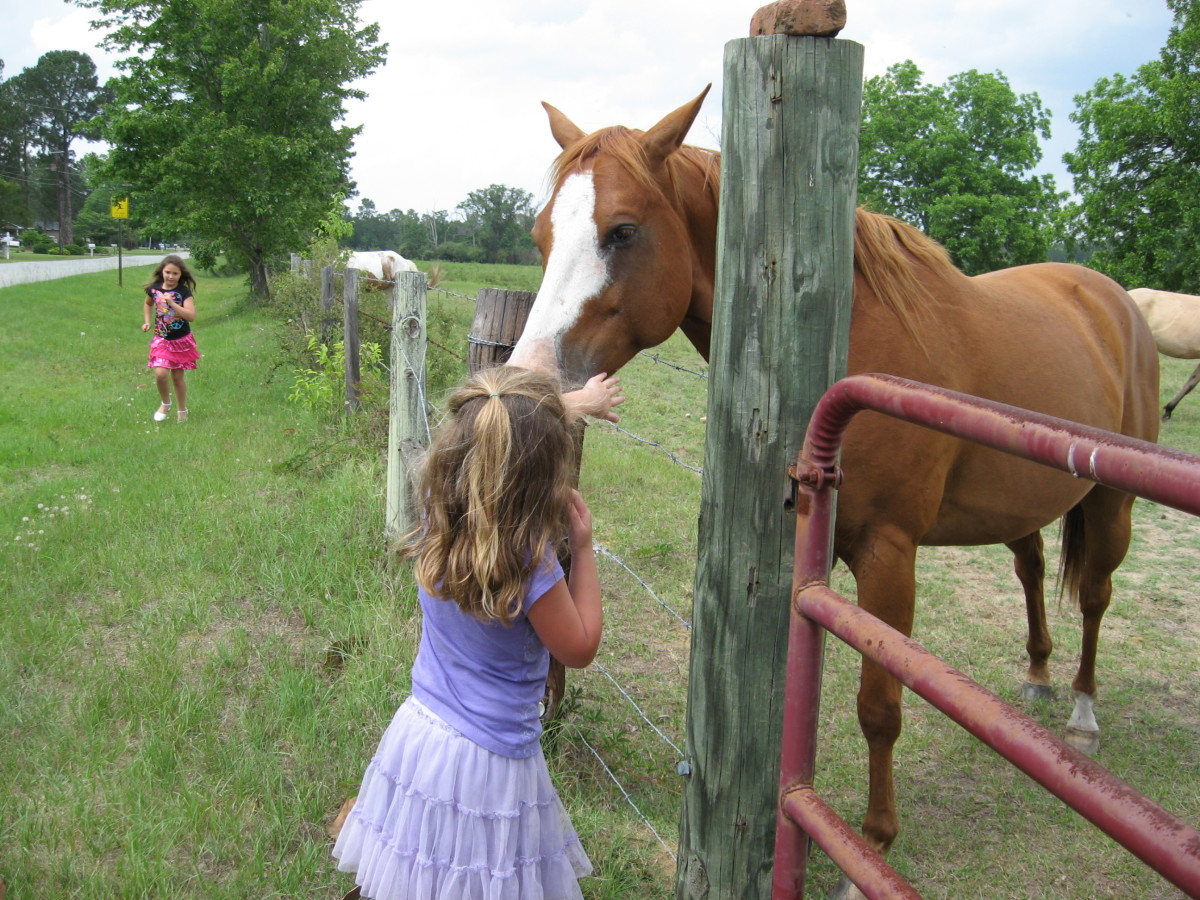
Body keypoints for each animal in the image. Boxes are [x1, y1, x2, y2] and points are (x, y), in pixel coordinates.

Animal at [507, 89, 1161, 884]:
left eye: (622, 231)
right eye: (541, 235)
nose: (530, 379)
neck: (857, 337)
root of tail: (1113, 300)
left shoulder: (889, 555)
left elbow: (880, 705)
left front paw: (871, 846)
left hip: (1112, 501)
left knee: (1095, 596)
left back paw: (1082, 711)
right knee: (1033, 569)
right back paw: (1038, 672)